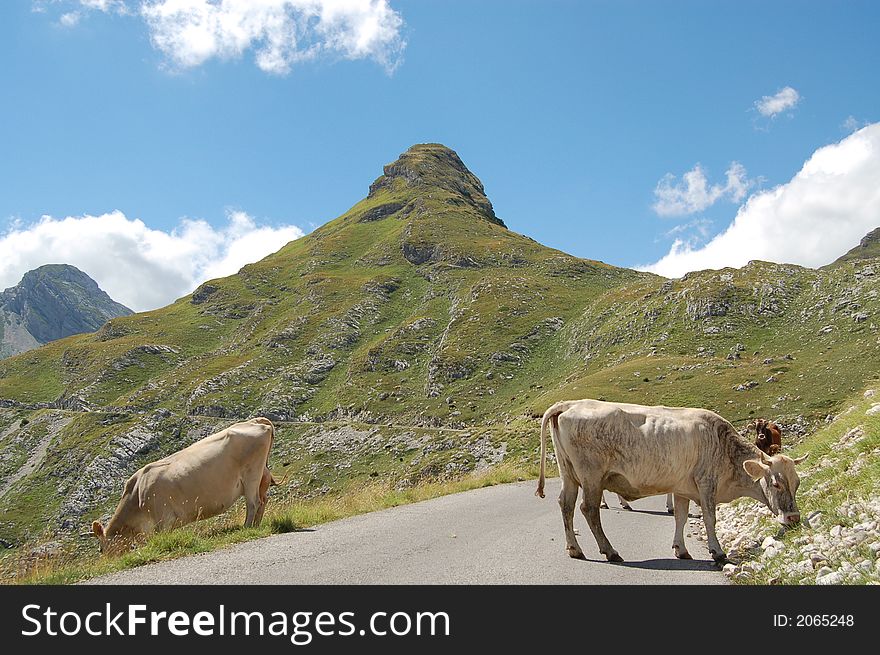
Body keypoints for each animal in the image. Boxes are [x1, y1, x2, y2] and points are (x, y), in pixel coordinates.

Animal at [93, 420, 280, 552]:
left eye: (101, 549)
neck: (136, 495)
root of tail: (255, 422)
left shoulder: (163, 520)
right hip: (260, 476)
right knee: (263, 500)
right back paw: (257, 525)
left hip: (251, 476)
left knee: (253, 503)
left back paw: (247, 527)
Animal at [532, 400, 808, 564]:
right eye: (776, 484)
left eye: (797, 483)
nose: (794, 517)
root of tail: (571, 403)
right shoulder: (706, 483)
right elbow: (710, 518)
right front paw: (717, 552)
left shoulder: (682, 488)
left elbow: (681, 518)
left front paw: (681, 549)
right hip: (591, 476)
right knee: (588, 509)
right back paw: (610, 551)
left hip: (569, 474)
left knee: (566, 506)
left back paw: (575, 549)